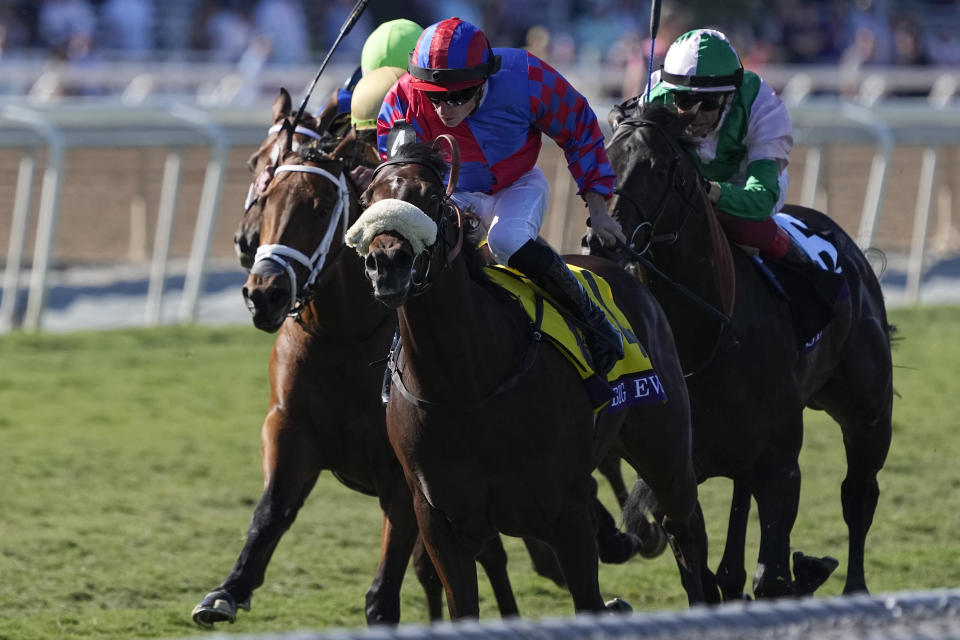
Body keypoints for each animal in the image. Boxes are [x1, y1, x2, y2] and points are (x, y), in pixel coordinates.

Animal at [352, 141, 712, 616]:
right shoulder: (439, 520)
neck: (465, 385)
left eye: (429, 197)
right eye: (366, 200)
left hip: (665, 448)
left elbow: (589, 601)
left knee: (684, 526)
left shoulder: (567, 514)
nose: (387, 263)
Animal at [600, 100, 892, 600]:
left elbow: (771, 576)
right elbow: (699, 577)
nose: (603, 238)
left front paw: (803, 573)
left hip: (868, 414)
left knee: (858, 495)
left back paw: (853, 585)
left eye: (658, 167)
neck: (705, 340)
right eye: (607, 158)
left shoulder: (781, 468)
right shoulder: (674, 477)